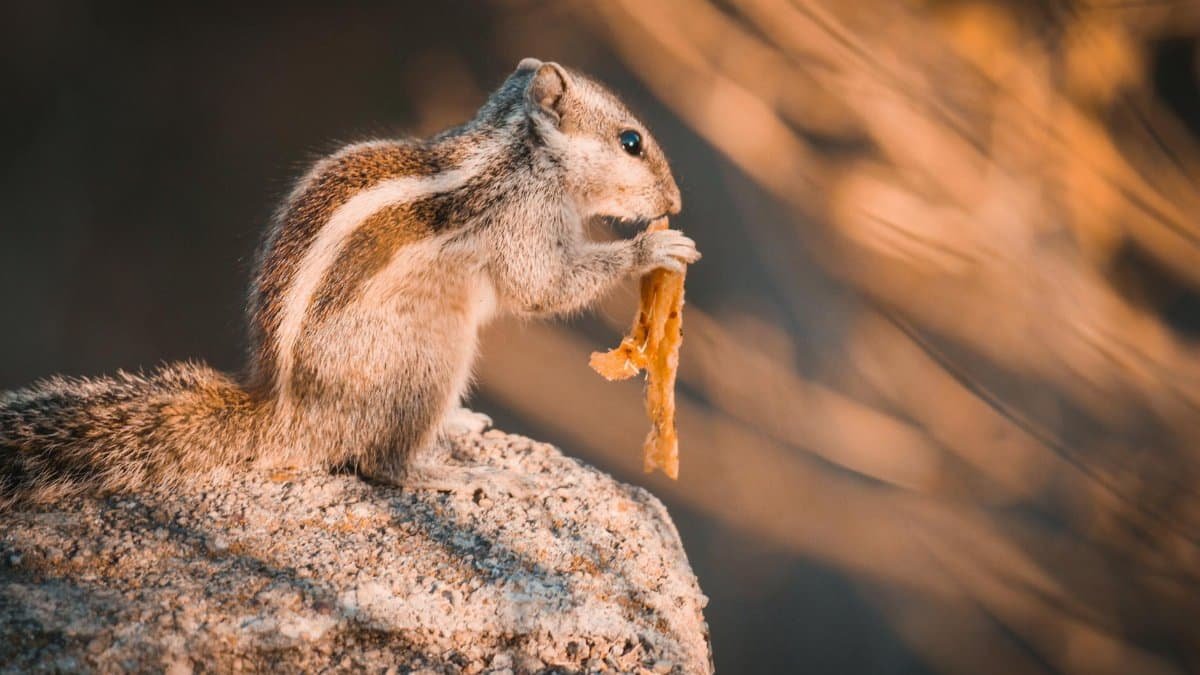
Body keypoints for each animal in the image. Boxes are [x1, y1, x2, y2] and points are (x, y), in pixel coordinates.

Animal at [0, 58, 699, 508]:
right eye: (631, 141)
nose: (676, 200)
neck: (520, 152)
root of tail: (285, 417)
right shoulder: (521, 224)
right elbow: (544, 286)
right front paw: (655, 247)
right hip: (428, 358)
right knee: (381, 464)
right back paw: (454, 474)